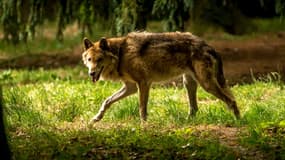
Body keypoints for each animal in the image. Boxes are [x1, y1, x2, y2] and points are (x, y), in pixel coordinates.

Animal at [81, 31, 240, 123]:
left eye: (99, 60)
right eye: (89, 59)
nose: (91, 73)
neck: (120, 54)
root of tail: (208, 45)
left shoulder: (143, 83)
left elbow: (142, 108)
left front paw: (143, 125)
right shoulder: (131, 87)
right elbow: (107, 101)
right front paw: (96, 118)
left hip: (206, 84)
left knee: (231, 101)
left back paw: (238, 122)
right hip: (189, 83)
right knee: (194, 109)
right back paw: (185, 122)